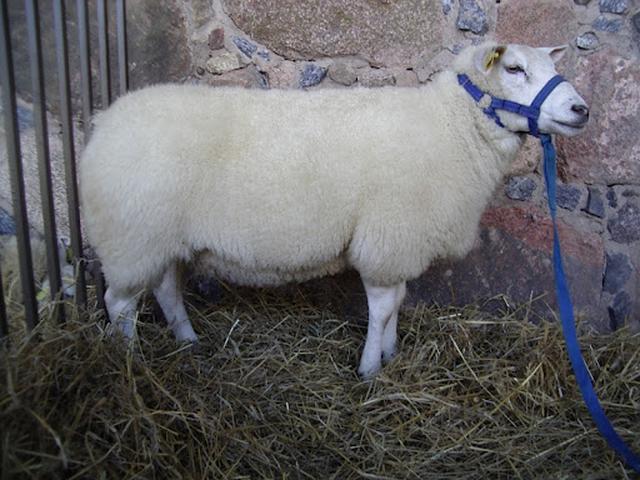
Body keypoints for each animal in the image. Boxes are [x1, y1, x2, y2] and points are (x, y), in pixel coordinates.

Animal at [79, 42, 589, 378]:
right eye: (516, 69)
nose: (581, 109)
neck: (451, 126)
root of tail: (104, 124)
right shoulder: (386, 238)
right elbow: (382, 307)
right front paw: (369, 369)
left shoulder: (398, 243)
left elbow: (398, 302)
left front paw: (391, 354)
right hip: (132, 234)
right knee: (119, 305)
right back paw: (130, 363)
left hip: (158, 234)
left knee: (165, 290)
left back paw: (187, 342)